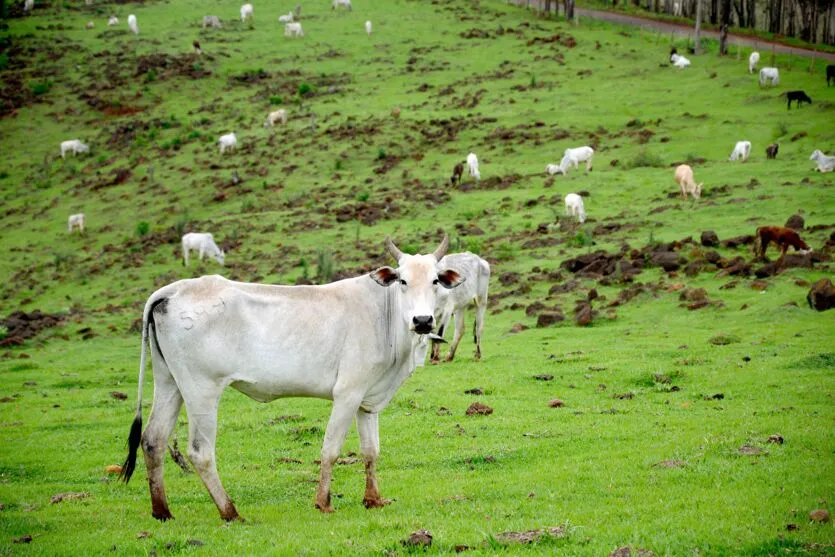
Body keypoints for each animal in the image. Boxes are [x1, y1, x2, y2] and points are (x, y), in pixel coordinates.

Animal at [118, 237, 466, 520]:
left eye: (436, 281)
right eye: (403, 281)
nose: (423, 320)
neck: (384, 314)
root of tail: (174, 289)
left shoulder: (368, 401)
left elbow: (371, 451)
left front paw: (373, 499)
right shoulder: (348, 394)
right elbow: (330, 449)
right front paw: (323, 502)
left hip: (169, 382)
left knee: (153, 440)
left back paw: (162, 511)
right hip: (201, 389)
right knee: (200, 452)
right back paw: (230, 512)